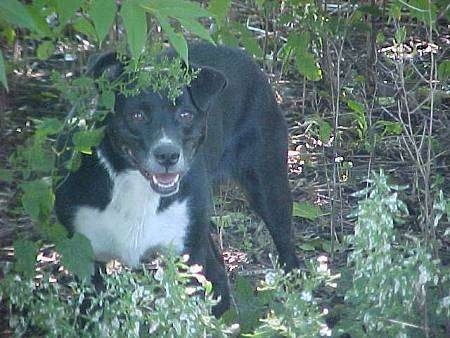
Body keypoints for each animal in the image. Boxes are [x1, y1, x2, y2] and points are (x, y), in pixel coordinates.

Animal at [55, 43, 298, 316]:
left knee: (285, 247)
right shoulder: (85, 258)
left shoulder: (188, 253)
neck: (135, 187)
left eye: (185, 115)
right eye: (137, 115)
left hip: (268, 185)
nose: (168, 155)